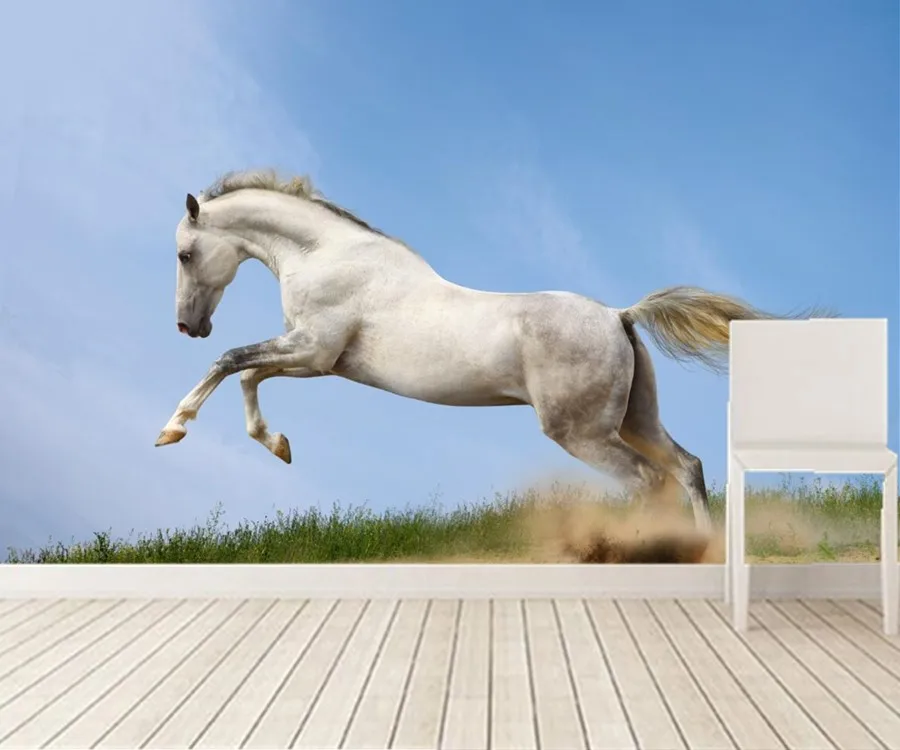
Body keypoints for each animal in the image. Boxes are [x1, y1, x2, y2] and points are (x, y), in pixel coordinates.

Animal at [155, 169, 828, 532]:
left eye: (185, 254)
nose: (188, 326)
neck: (327, 256)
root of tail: (619, 316)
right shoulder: (315, 360)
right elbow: (247, 375)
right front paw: (279, 445)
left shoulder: (313, 352)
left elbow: (231, 362)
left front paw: (173, 430)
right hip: (636, 419)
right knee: (686, 468)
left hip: (582, 433)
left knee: (646, 481)